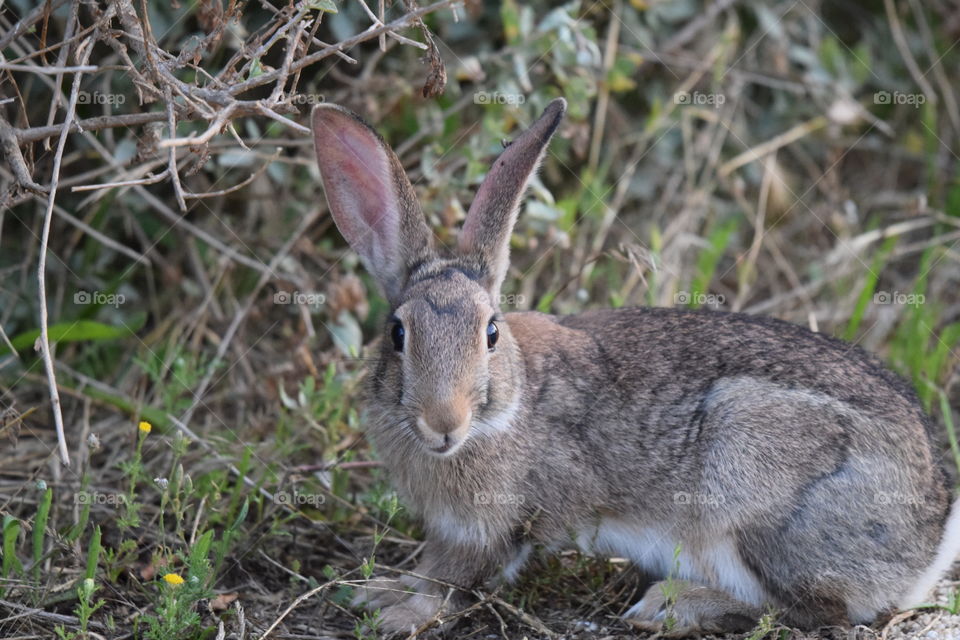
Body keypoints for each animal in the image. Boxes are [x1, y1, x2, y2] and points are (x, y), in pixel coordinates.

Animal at [310, 97, 960, 637]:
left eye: (491, 332)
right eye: (398, 335)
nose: (444, 421)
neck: (508, 408)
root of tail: (928, 538)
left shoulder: (490, 528)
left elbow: (451, 580)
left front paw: (397, 611)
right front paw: (377, 591)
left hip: (750, 490)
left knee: (812, 611)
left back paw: (673, 606)